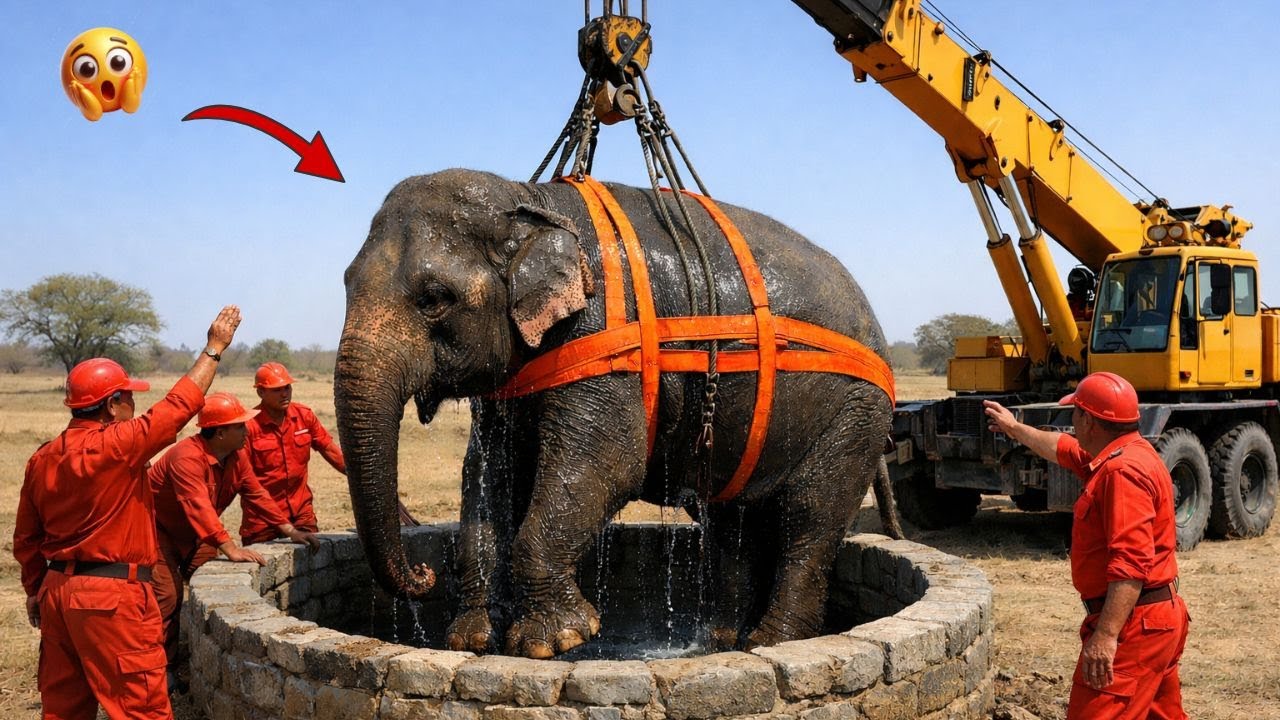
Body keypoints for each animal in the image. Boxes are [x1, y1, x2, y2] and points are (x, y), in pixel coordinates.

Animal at [335, 168, 896, 659]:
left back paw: (772, 642)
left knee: (809, 517)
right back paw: (722, 640)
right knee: (728, 520)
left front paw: (554, 642)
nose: (423, 575)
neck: (529, 199)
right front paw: (473, 639)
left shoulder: (604, 335)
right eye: (345, 282)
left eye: (434, 299)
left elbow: (606, 465)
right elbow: (488, 477)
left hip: (856, 413)